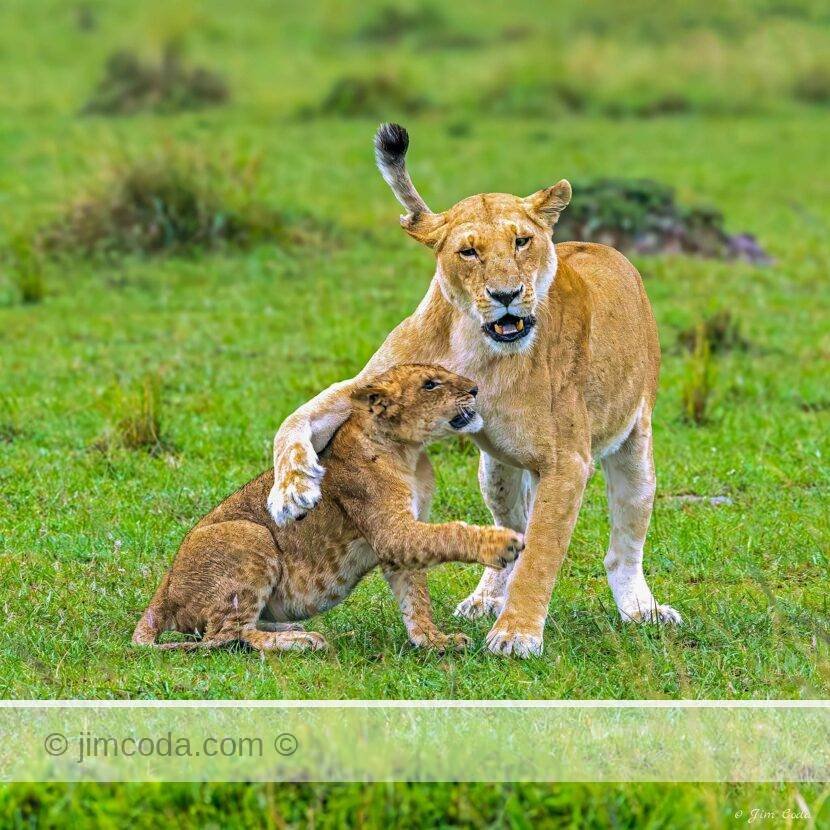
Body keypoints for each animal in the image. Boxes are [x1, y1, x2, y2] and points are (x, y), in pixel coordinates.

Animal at [132, 364, 524, 653]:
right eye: (430, 384)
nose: (475, 389)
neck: (408, 452)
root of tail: (164, 590)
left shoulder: (397, 544)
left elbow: (416, 599)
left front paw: (434, 641)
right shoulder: (394, 532)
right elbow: (449, 535)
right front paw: (502, 543)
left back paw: (287, 626)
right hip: (250, 534)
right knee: (225, 636)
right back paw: (300, 640)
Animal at [266, 123, 682, 658]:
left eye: (522, 242)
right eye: (469, 252)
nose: (506, 294)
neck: (477, 343)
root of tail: (602, 247)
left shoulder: (568, 461)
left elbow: (541, 554)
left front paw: (516, 634)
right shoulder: (363, 388)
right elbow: (293, 421)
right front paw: (291, 492)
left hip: (634, 450)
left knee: (623, 546)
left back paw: (641, 609)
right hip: (496, 471)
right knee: (512, 527)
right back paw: (485, 599)